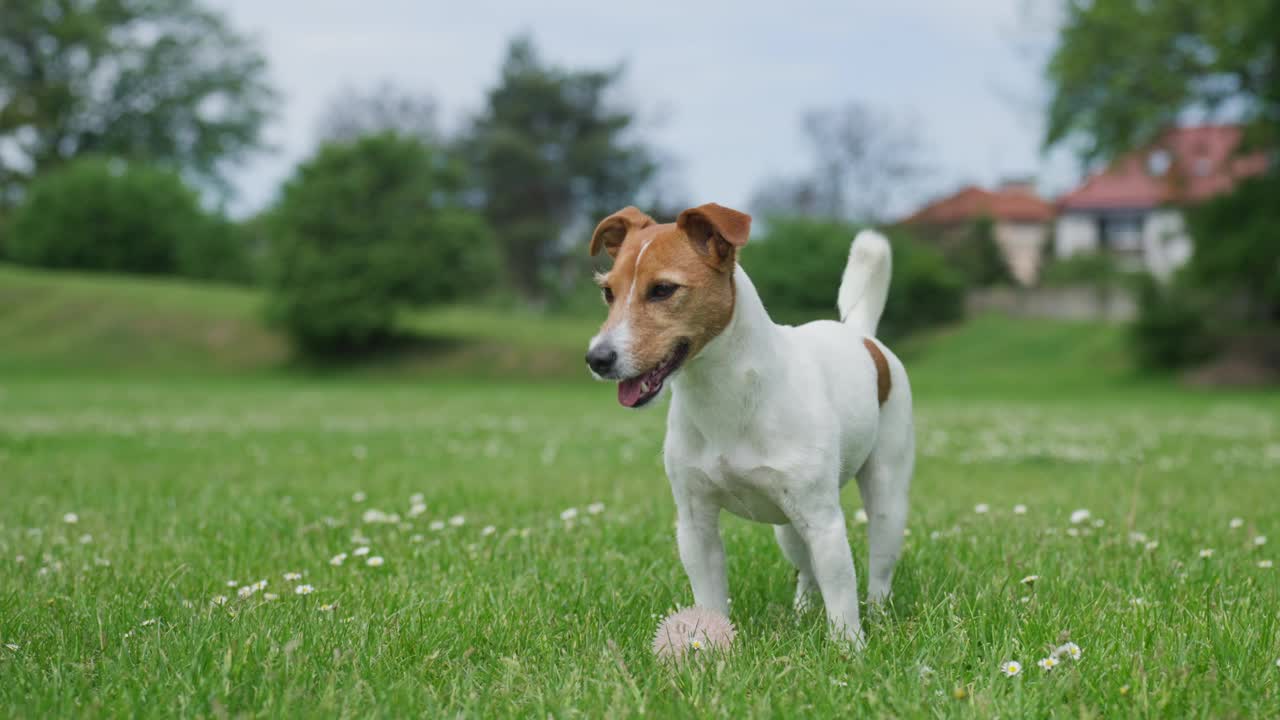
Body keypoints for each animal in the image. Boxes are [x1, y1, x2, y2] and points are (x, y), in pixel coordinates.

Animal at [586, 202, 916, 645]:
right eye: (608, 292)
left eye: (663, 290)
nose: (597, 359)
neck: (725, 398)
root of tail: (859, 333)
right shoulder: (696, 524)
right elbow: (709, 596)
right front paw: (707, 643)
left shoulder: (824, 522)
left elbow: (842, 598)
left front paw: (850, 649)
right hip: (788, 527)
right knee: (807, 572)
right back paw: (801, 612)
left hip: (885, 500)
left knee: (878, 569)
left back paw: (878, 615)